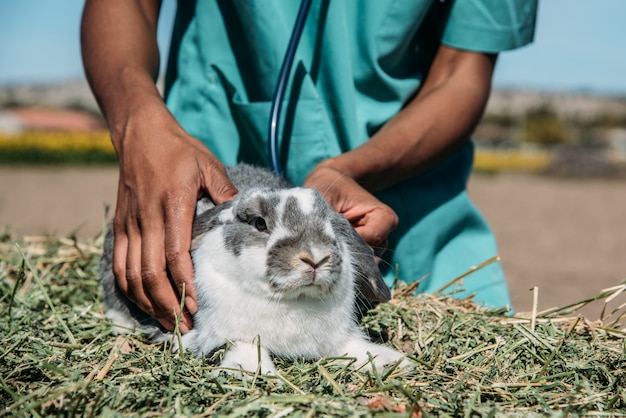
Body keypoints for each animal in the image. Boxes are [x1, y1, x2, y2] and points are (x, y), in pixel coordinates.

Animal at [99, 162, 408, 376]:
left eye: (328, 223)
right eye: (259, 223)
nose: (315, 258)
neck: (291, 301)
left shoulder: (337, 337)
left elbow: (351, 347)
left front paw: (393, 362)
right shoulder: (230, 332)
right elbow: (246, 345)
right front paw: (250, 373)